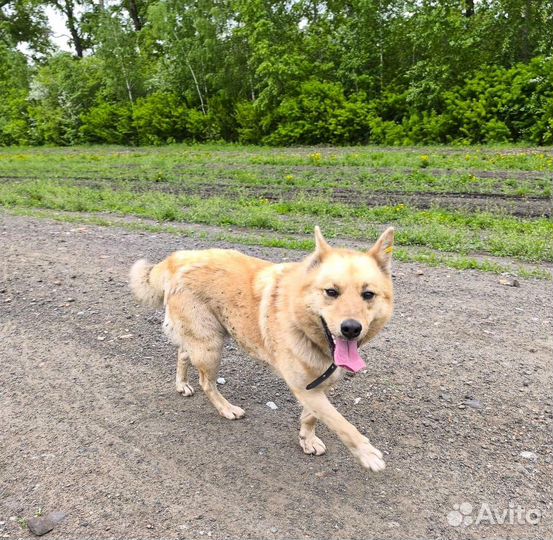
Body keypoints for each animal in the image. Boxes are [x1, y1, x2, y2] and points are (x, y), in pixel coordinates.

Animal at [130, 226, 394, 470]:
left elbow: (311, 417)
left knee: (183, 353)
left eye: (368, 294)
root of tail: (178, 258)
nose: (351, 328)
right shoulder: (304, 388)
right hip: (210, 347)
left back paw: (182, 383)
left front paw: (307, 439)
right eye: (331, 292)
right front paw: (367, 453)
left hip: (202, 339)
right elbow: (341, 422)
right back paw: (226, 408)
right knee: (206, 382)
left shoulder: (317, 385)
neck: (301, 321)